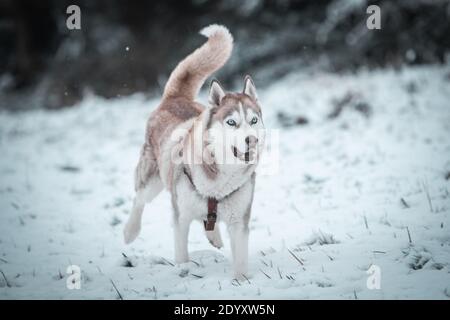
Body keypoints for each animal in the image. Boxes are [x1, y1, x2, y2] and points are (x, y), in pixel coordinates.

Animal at [123, 25, 264, 278]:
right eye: (231, 122)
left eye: (254, 120)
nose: (252, 140)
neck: (220, 175)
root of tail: (175, 97)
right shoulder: (181, 216)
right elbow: (181, 252)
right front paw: (182, 270)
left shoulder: (239, 220)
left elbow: (240, 259)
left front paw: (241, 280)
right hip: (153, 181)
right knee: (139, 199)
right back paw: (130, 231)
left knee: (208, 220)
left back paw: (215, 236)